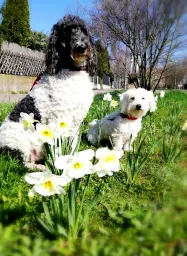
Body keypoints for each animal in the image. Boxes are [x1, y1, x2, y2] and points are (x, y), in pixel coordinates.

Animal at [0, 15, 96, 169]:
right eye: (66, 32)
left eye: (83, 30)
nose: (81, 47)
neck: (70, 69)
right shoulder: (57, 123)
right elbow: (58, 151)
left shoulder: (75, 126)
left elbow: (72, 147)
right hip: (19, 142)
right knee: (22, 162)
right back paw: (40, 167)